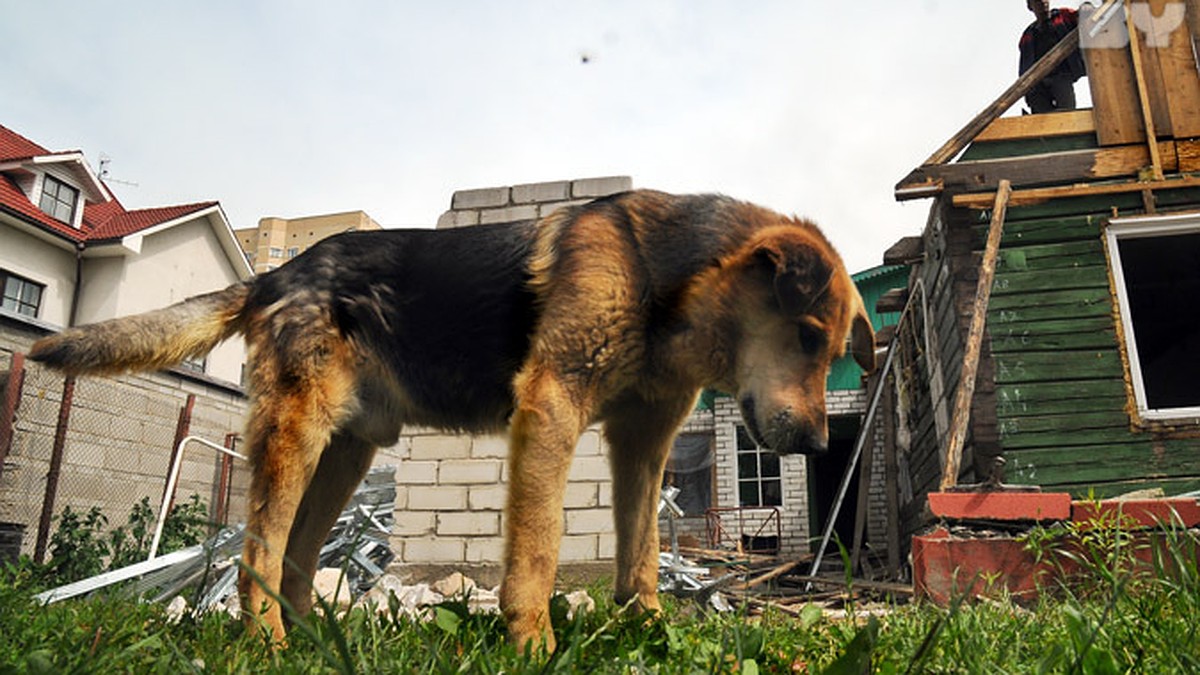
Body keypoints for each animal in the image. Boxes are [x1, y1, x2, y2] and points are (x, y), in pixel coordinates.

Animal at [28, 187, 873, 648]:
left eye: (833, 349)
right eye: (805, 335)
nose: (818, 443)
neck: (666, 278)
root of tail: (279, 272)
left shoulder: (641, 442)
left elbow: (640, 555)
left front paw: (647, 629)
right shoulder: (550, 410)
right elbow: (536, 549)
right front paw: (532, 642)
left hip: (346, 451)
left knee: (298, 557)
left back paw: (307, 641)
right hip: (297, 435)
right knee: (258, 555)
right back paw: (264, 641)